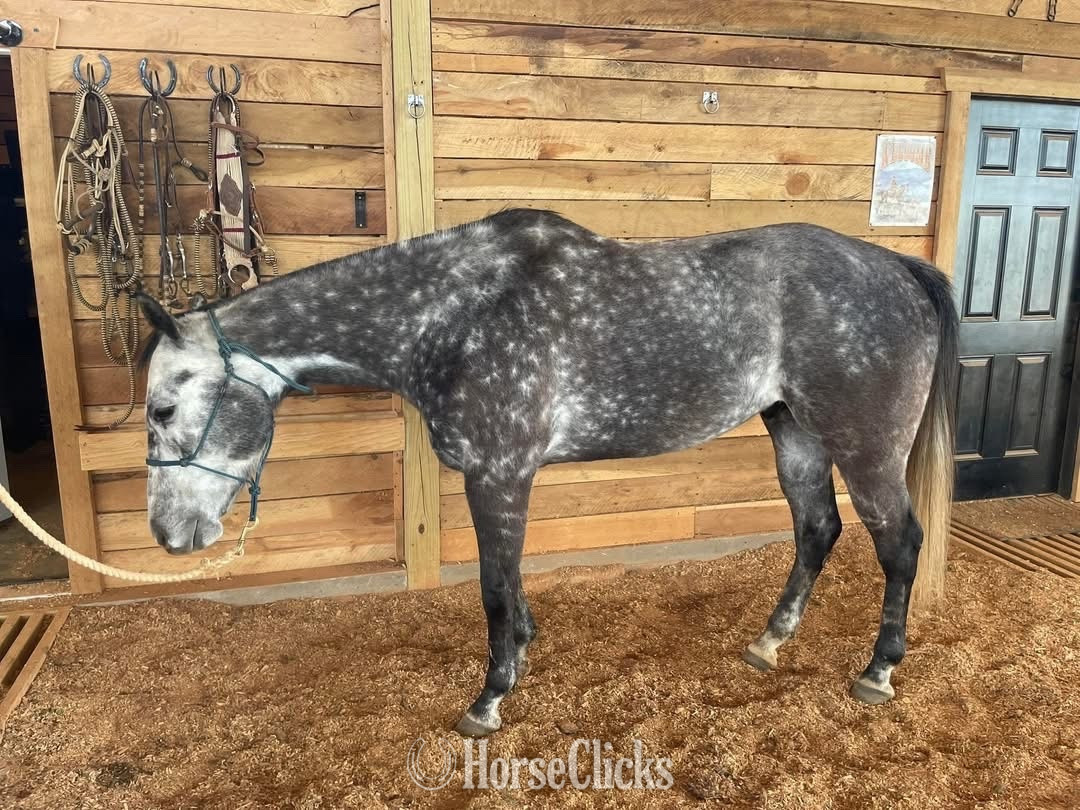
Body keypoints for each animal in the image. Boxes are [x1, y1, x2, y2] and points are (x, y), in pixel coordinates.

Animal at [138, 208, 957, 738]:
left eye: (163, 406)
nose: (168, 535)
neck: (453, 315)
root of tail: (899, 268)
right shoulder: (502, 476)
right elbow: (511, 579)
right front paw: (522, 660)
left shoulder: (498, 473)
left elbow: (495, 589)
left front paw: (488, 701)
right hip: (792, 431)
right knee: (817, 528)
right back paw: (767, 644)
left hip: (865, 447)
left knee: (898, 544)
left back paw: (877, 672)